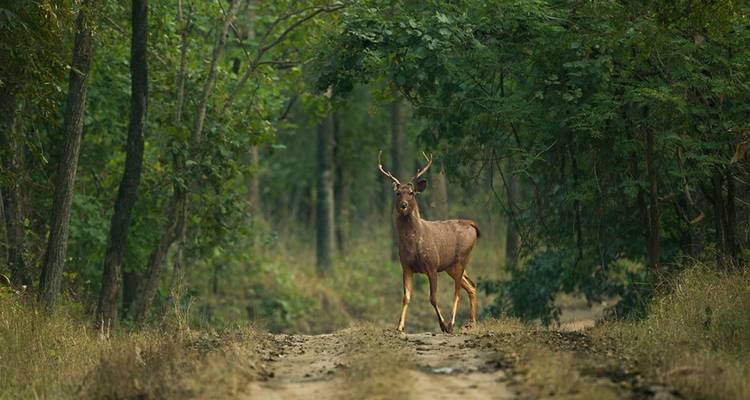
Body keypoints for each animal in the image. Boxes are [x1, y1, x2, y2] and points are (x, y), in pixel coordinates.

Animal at [378, 151, 479, 333]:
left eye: (411, 192)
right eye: (398, 193)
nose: (403, 205)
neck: (413, 243)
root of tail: (472, 224)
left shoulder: (432, 265)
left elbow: (433, 298)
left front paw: (442, 325)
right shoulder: (406, 267)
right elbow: (406, 297)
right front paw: (399, 326)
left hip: (463, 257)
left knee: (458, 291)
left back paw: (452, 324)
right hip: (450, 266)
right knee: (471, 285)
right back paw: (471, 322)